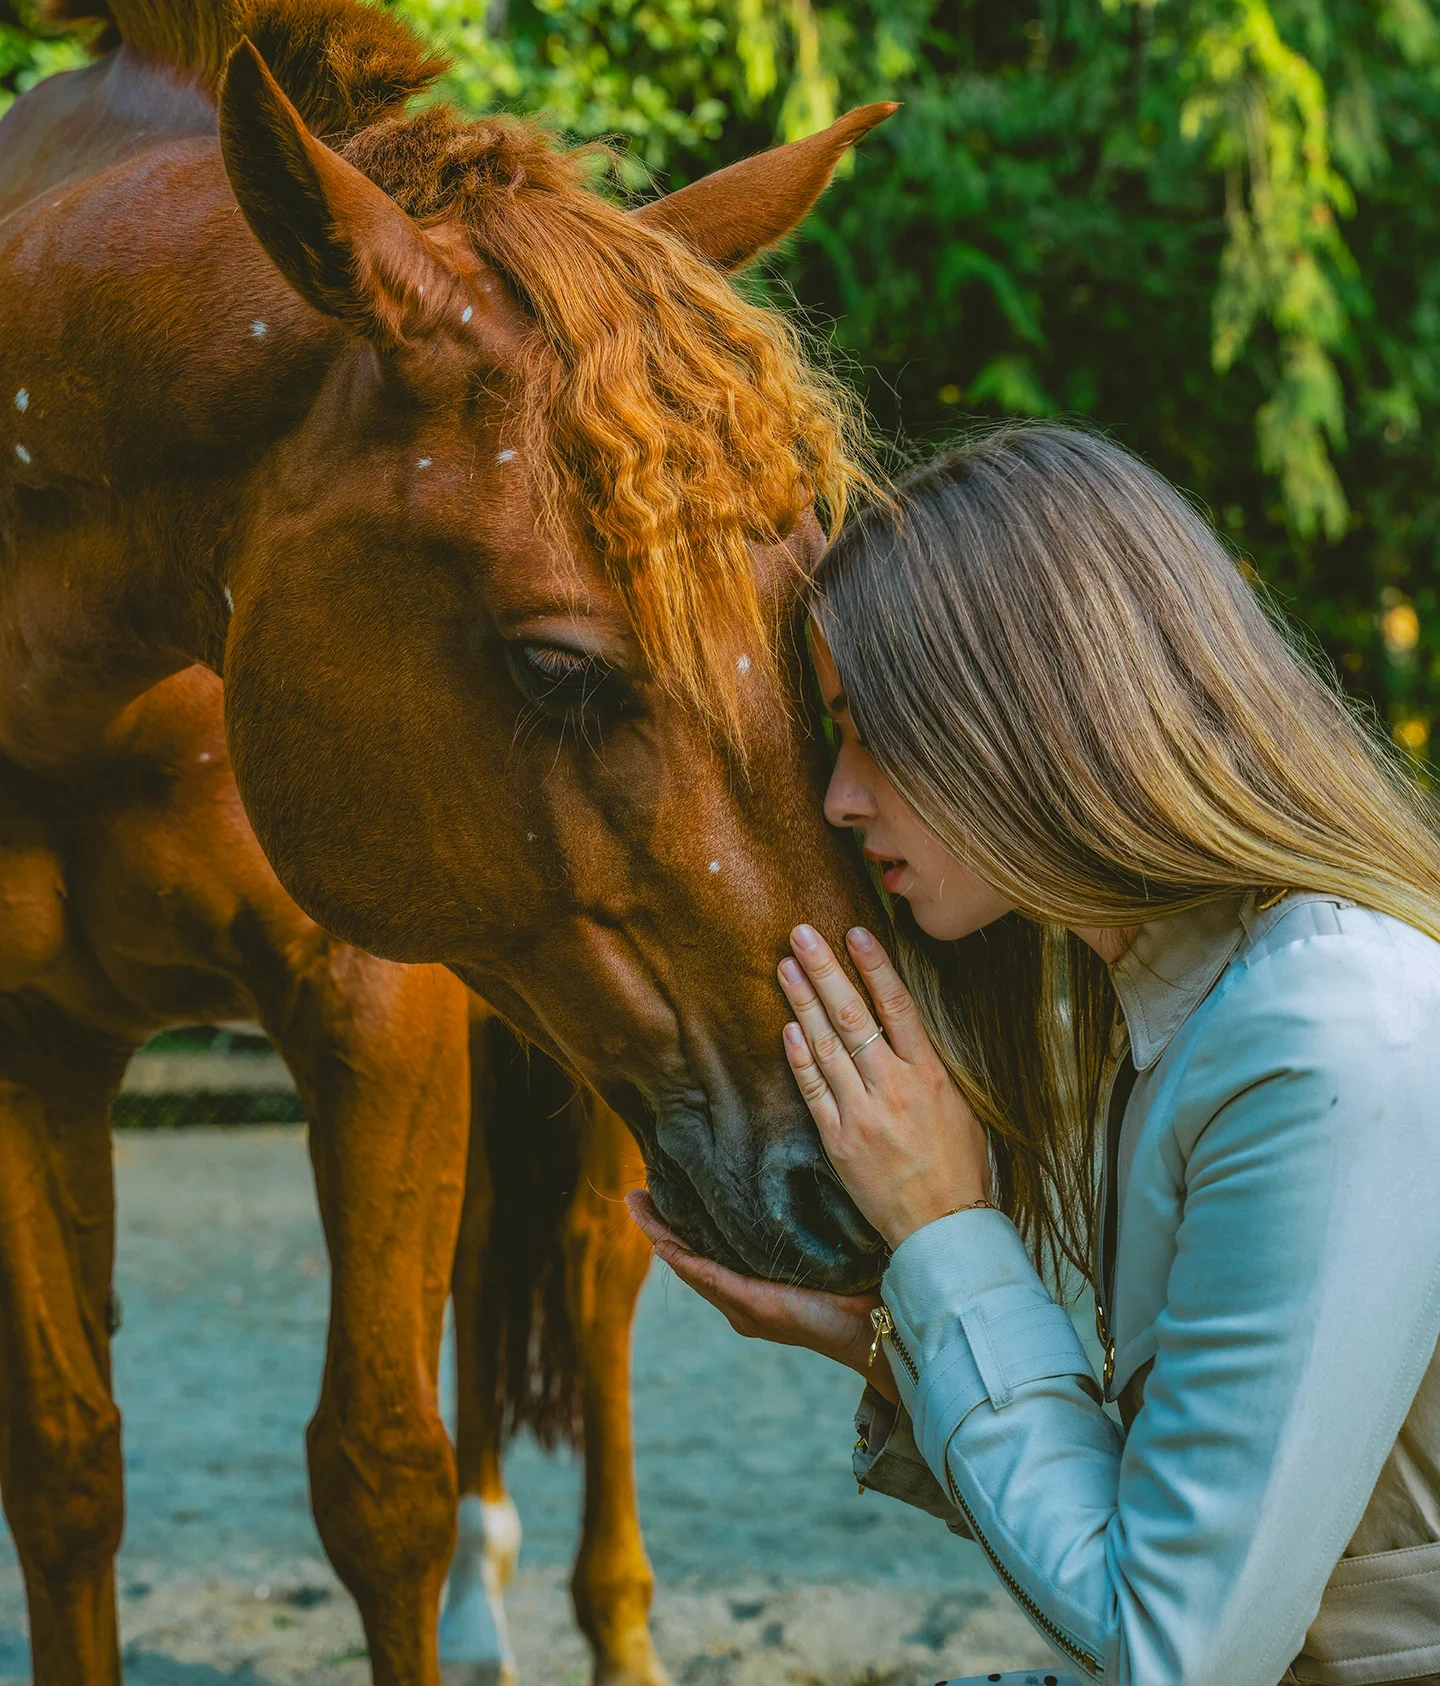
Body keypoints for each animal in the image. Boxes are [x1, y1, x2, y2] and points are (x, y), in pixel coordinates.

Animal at [1, 1, 892, 1679]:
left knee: (582, 1284)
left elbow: (378, 1475)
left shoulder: (375, 1010)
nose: (865, 1183)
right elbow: (67, 1465)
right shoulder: (30, 1054)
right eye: (555, 666)